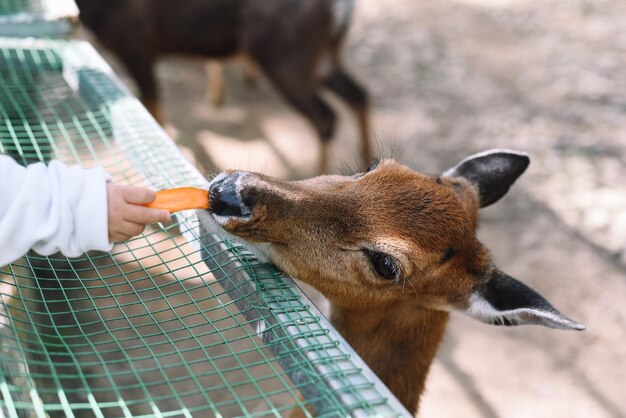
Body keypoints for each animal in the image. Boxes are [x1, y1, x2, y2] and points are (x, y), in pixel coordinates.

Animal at [76, 0, 370, 173]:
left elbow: (153, 112)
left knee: (326, 117)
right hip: (319, 56)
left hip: (284, 54)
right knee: (358, 94)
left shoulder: (137, 46)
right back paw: (366, 163)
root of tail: (342, 8)